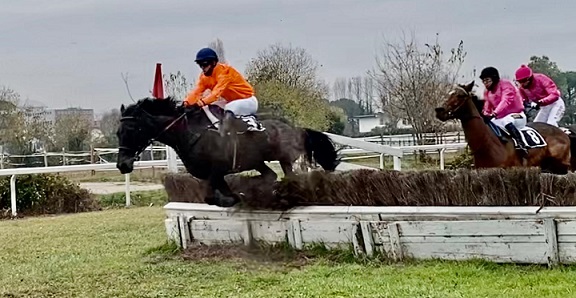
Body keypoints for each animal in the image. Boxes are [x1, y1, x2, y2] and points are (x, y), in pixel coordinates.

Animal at [115, 97, 340, 207]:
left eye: (132, 130)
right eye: (118, 132)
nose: (122, 164)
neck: (189, 132)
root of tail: (296, 128)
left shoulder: (217, 171)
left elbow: (216, 196)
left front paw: (236, 196)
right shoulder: (211, 176)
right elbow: (214, 196)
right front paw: (237, 195)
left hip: (285, 158)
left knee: (288, 177)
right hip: (258, 161)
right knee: (270, 175)